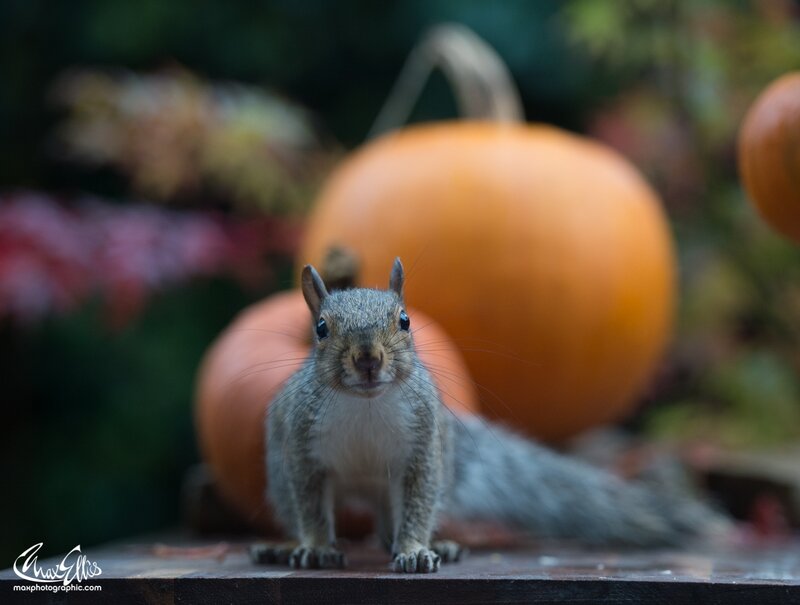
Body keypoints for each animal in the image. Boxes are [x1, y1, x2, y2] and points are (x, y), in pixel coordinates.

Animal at [252, 258, 729, 574]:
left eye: (404, 320)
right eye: (321, 329)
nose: (368, 359)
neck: (365, 403)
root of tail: (364, 493)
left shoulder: (423, 448)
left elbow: (419, 504)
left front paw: (415, 549)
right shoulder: (303, 450)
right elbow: (311, 506)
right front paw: (316, 546)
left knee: (389, 524)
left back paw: (436, 544)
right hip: (278, 472)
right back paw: (283, 546)